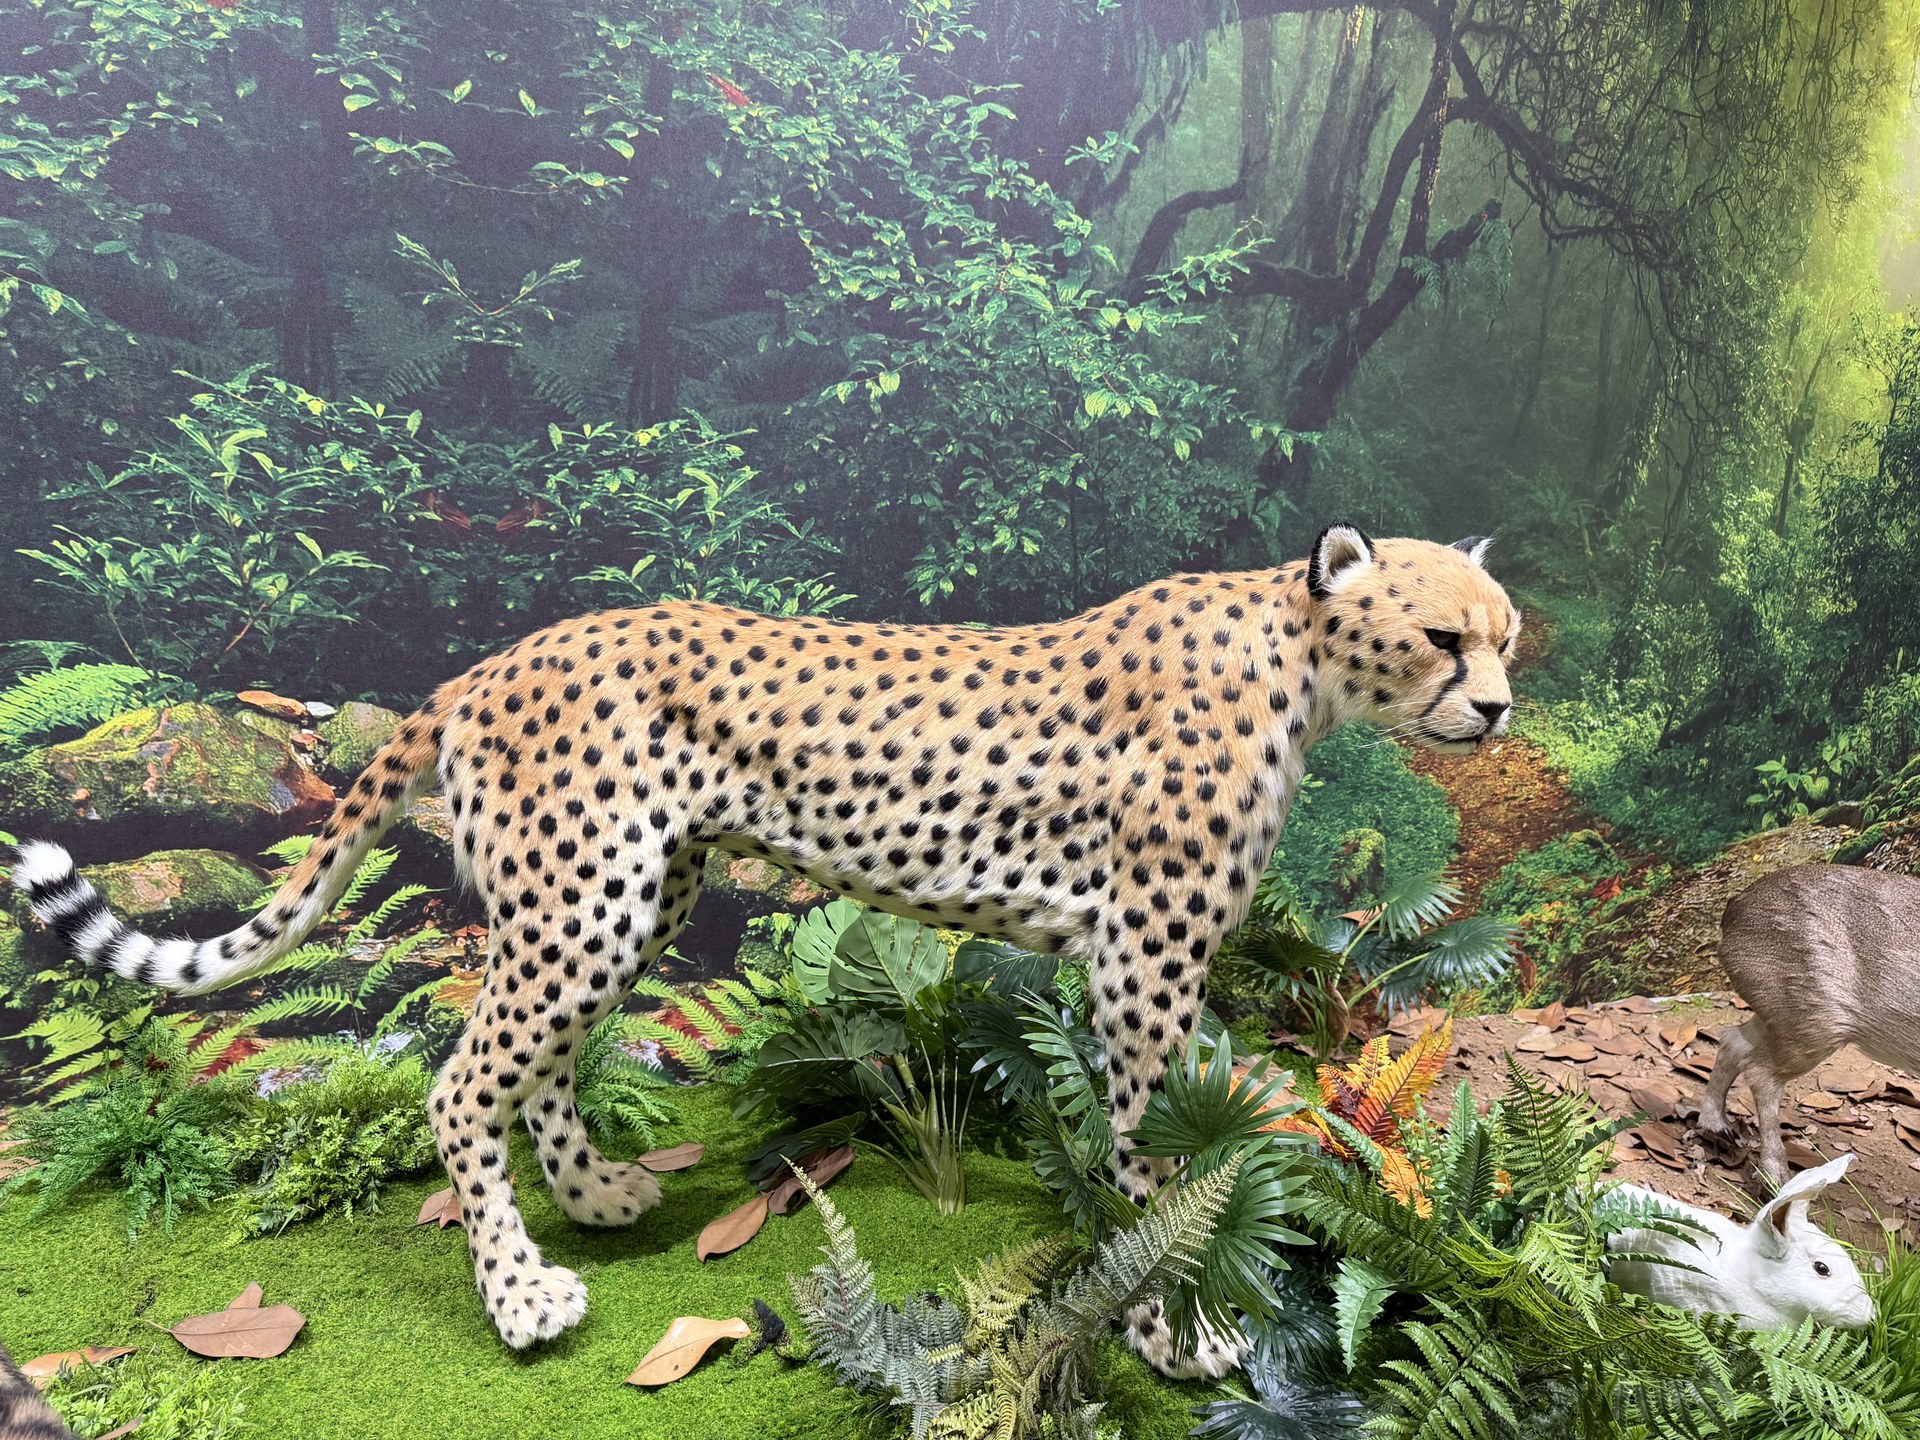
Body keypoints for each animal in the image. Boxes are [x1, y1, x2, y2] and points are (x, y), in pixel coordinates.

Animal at [11, 524, 1519, 1377]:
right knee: (461, 1082)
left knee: (537, 1064)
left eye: (1510, 638)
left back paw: (600, 1197)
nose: (1500, 709)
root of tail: (494, 659)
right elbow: (1159, 1158)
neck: (1303, 660)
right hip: (587, 897)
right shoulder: (1144, 958)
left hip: (634, 893)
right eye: (1443, 636)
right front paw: (1173, 1325)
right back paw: (521, 1299)